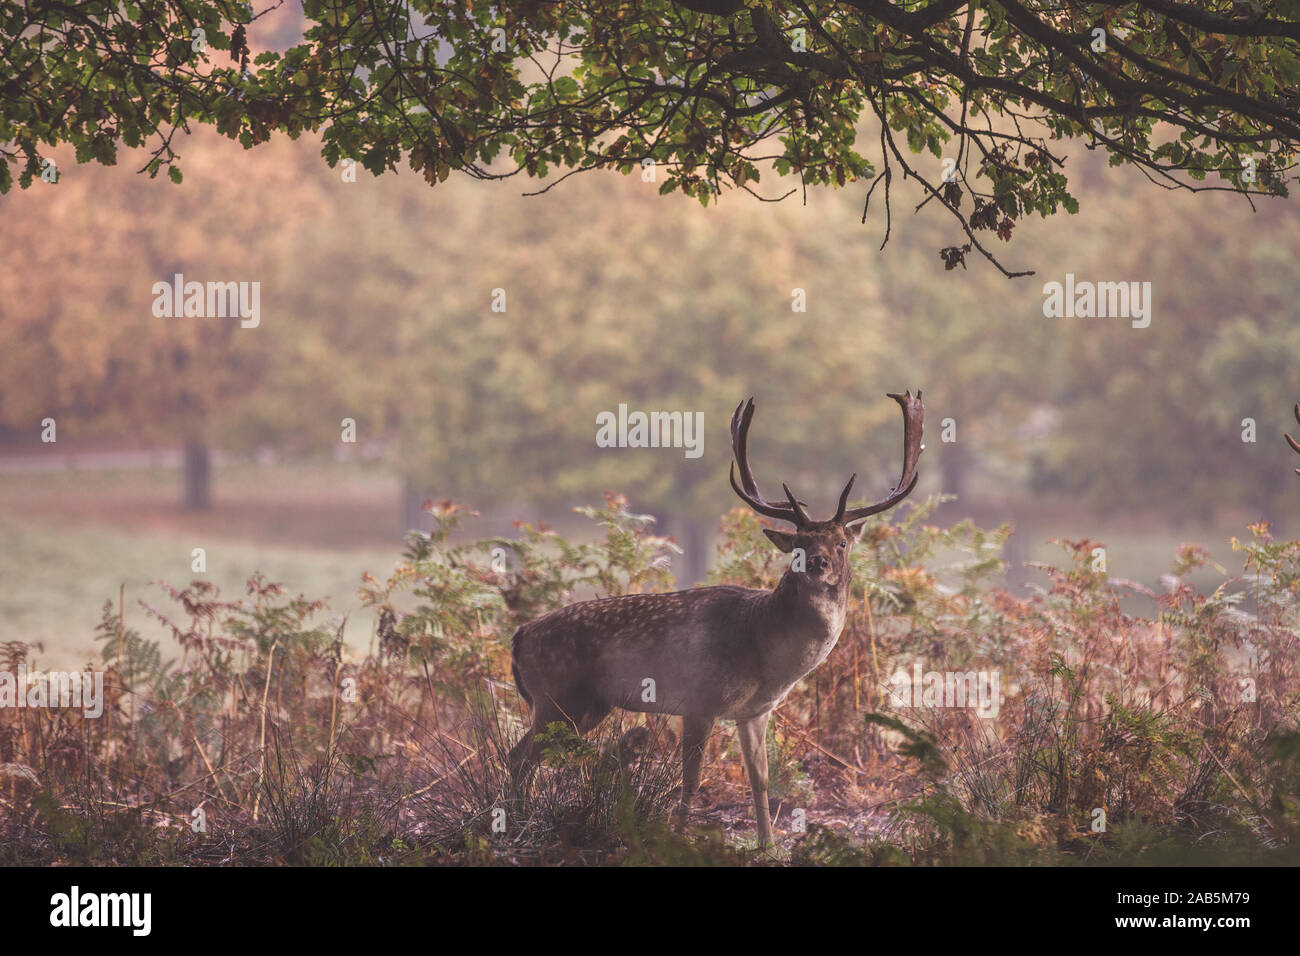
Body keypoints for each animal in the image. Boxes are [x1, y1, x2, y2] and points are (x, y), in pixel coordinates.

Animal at [506, 390, 925, 842]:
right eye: (798, 542)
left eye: (842, 542)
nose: (816, 563)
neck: (762, 645)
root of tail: (519, 636)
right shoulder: (698, 699)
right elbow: (691, 779)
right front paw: (678, 837)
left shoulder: (755, 711)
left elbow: (759, 778)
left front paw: (767, 844)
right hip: (557, 697)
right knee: (519, 756)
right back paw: (515, 822)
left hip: (585, 705)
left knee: (522, 755)